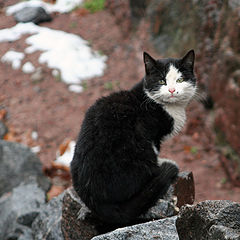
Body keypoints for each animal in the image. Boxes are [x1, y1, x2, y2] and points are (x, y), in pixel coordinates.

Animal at [70, 49, 197, 232]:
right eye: (162, 81)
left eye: (180, 80)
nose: (172, 90)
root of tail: (95, 199)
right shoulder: (151, 134)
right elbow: (156, 149)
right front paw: (161, 162)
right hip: (136, 148)